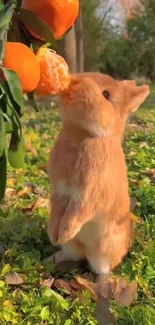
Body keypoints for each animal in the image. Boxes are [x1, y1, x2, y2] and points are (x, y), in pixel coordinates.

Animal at [47, 73, 150, 278]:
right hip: (73, 247)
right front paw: (54, 236)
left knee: (102, 268)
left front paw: (64, 233)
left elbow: (77, 212)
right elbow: (58, 210)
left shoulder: (90, 192)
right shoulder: (60, 191)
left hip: (103, 252)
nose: (74, 81)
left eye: (106, 94)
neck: (83, 133)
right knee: (74, 255)